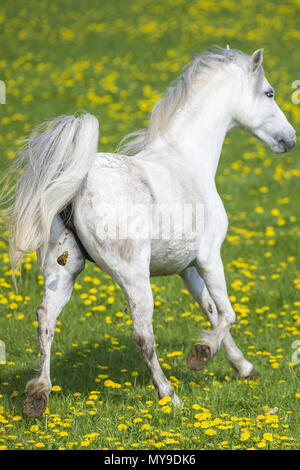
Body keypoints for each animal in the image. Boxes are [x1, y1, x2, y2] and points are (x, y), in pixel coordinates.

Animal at [1, 46, 296, 416]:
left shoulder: (186, 268)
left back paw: (38, 395)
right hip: (134, 277)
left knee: (45, 319)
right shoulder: (209, 258)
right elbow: (227, 313)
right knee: (142, 333)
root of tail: (75, 185)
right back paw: (169, 395)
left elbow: (210, 311)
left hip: (64, 270)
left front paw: (244, 368)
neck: (187, 160)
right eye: (269, 93)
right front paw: (200, 356)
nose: (290, 140)